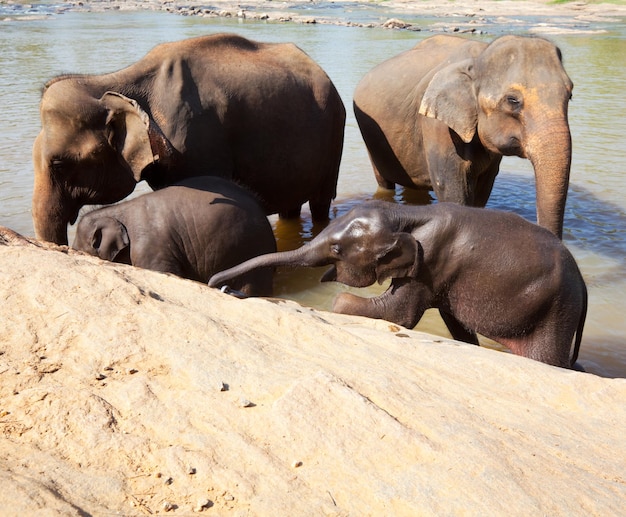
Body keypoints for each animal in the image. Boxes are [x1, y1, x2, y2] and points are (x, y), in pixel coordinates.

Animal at [31, 33, 344, 245]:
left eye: (59, 164)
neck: (112, 83)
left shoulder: (197, 143)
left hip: (333, 136)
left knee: (320, 202)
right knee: (291, 206)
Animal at [210, 199, 584, 366]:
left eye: (336, 248)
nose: (224, 288)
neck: (403, 214)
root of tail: (582, 286)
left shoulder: (430, 262)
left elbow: (398, 314)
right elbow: (452, 321)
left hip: (554, 310)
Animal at [352, 35, 572, 237]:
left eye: (570, 95)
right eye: (512, 100)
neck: (479, 58)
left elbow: (484, 188)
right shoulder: (438, 126)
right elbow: (451, 187)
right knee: (384, 181)